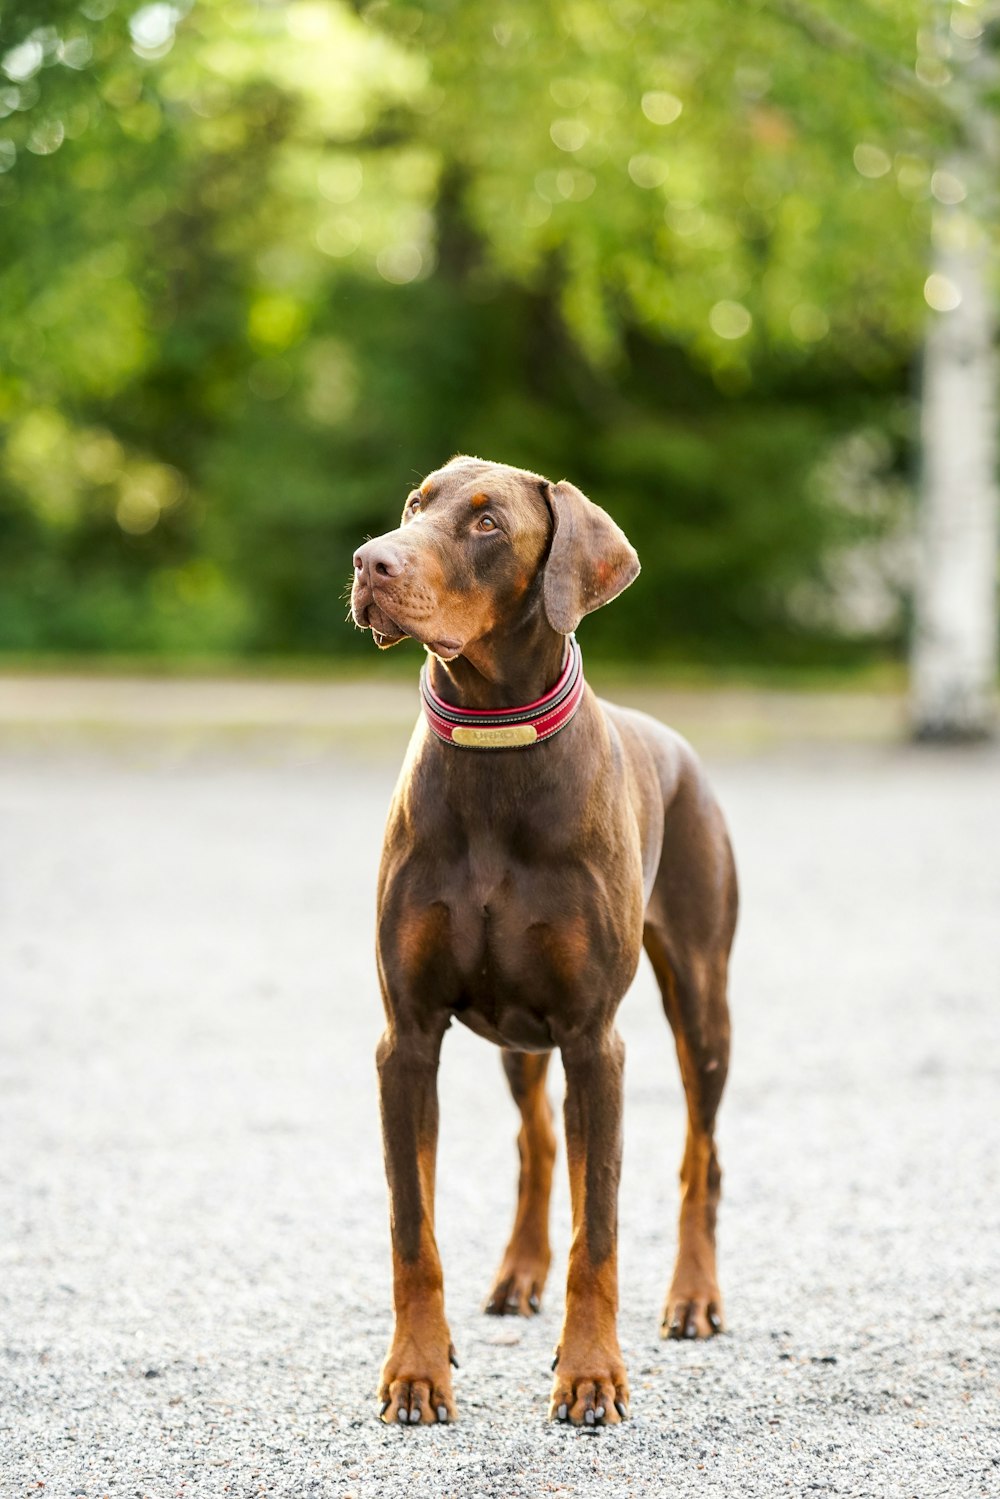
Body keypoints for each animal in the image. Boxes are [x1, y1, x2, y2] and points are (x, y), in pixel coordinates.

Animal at [350, 452, 734, 1427]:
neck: (495, 751)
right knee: (538, 1144)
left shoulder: (594, 1039)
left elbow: (598, 1230)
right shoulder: (408, 1036)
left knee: (700, 1158)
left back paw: (694, 1295)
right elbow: (412, 1223)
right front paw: (418, 1370)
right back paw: (518, 1274)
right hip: (518, 1035)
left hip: (702, 1006)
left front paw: (591, 1374)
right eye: (416, 504)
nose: (371, 561)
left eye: (488, 524)